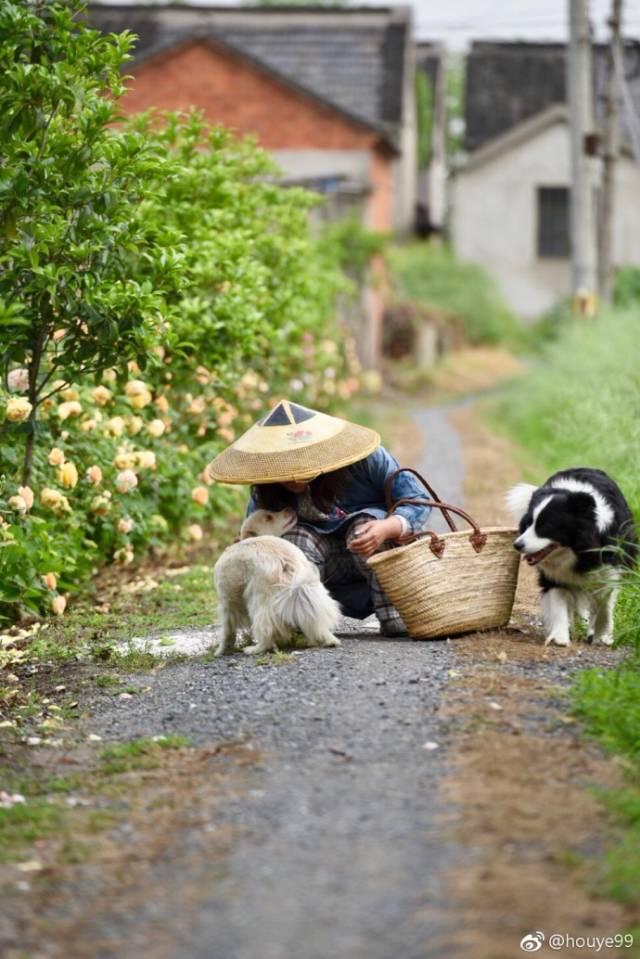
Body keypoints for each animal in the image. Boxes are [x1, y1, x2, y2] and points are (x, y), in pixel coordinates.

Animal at [214, 506, 342, 656]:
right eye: (269, 517)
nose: (290, 507)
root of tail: (287, 563)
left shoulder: (228, 601)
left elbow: (228, 631)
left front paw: (222, 651)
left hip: (258, 599)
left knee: (266, 629)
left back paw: (255, 649)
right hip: (311, 591)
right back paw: (329, 640)